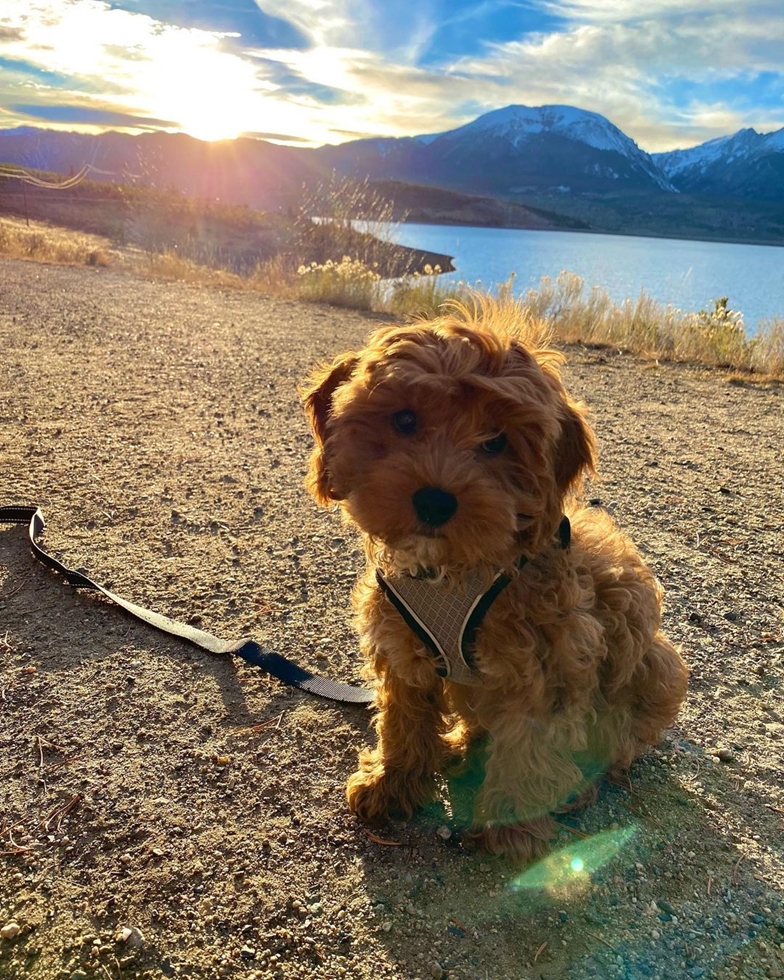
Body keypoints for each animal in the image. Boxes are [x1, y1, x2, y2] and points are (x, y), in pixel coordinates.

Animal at [302, 300, 688, 864]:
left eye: (497, 441)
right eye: (404, 419)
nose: (434, 500)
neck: (453, 573)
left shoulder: (548, 665)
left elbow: (527, 744)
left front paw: (513, 823)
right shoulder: (403, 651)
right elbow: (403, 721)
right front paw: (392, 784)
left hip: (655, 667)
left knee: (614, 748)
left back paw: (574, 788)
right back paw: (459, 745)